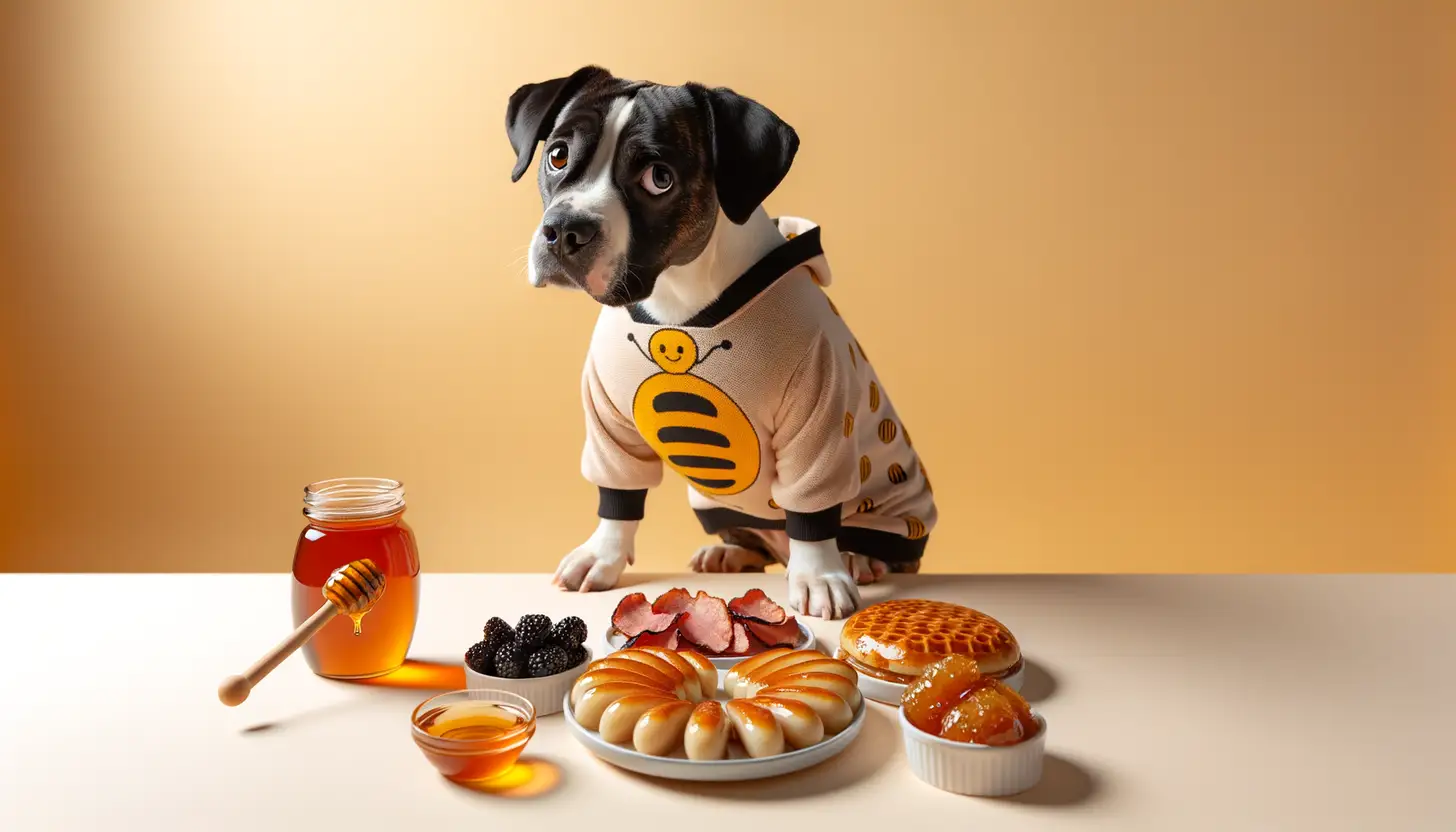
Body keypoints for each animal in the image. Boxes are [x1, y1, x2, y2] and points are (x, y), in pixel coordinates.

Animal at [506, 66, 931, 617]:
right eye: (557, 156)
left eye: (658, 178)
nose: (564, 228)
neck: (679, 301)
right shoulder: (608, 422)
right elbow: (618, 494)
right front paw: (602, 556)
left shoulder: (817, 416)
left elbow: (813, 512)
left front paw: (820, 575)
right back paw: (729, 552)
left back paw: (860, 559)